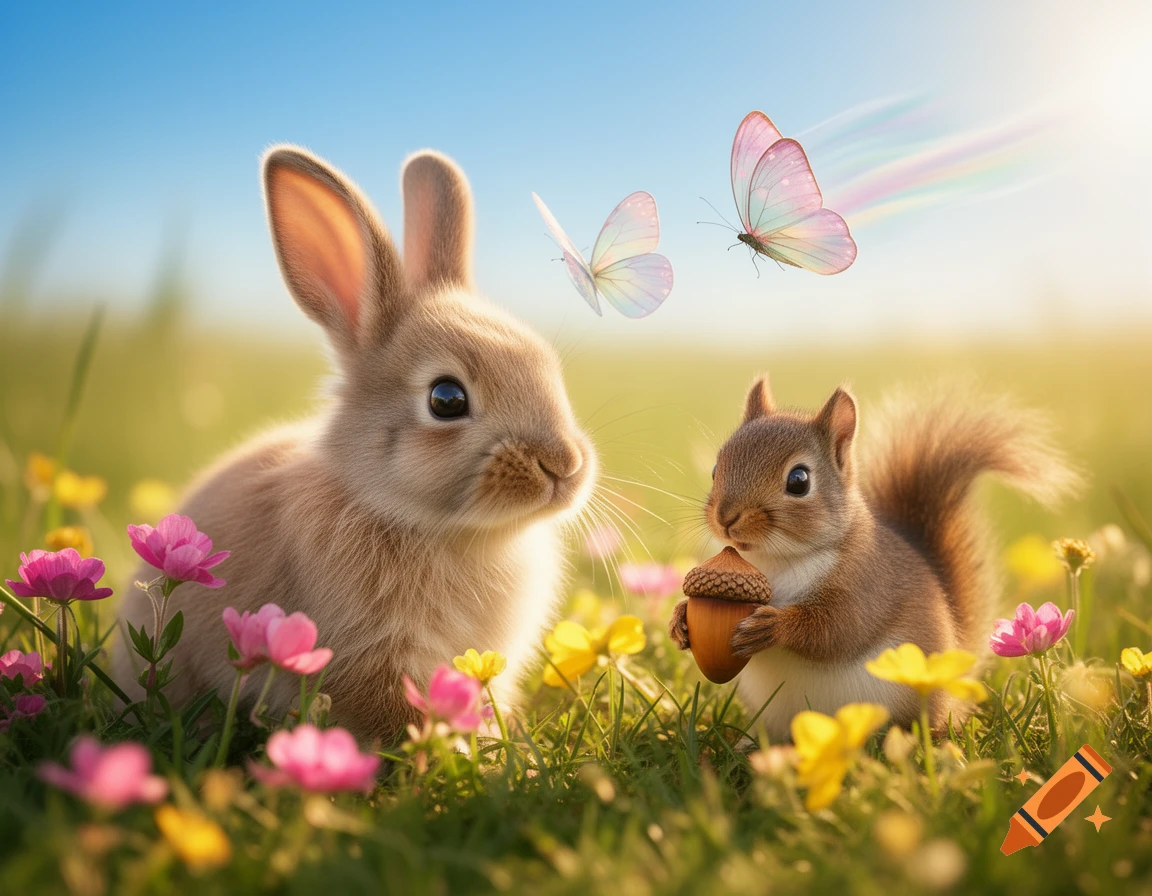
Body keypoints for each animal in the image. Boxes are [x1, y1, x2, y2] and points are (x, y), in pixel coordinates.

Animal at [669, 374, 1079, 739]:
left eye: (799, 480)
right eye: (715, 468)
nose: (725, 518)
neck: (774, 560)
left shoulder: (866, 584)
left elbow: (838, 628)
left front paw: (775, 626)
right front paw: (680, 621)